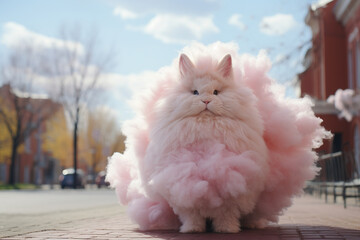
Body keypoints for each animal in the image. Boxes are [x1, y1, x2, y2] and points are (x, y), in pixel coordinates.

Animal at [105, 42, 330, 232]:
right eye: (195, 92)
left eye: (216, 92)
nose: (206, 101)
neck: (207, 128)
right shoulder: (183, 186)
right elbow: (191, 214)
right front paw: (192, 230)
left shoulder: (232, 185)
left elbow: (226, 213)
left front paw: (227, 230)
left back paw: (252, 225)